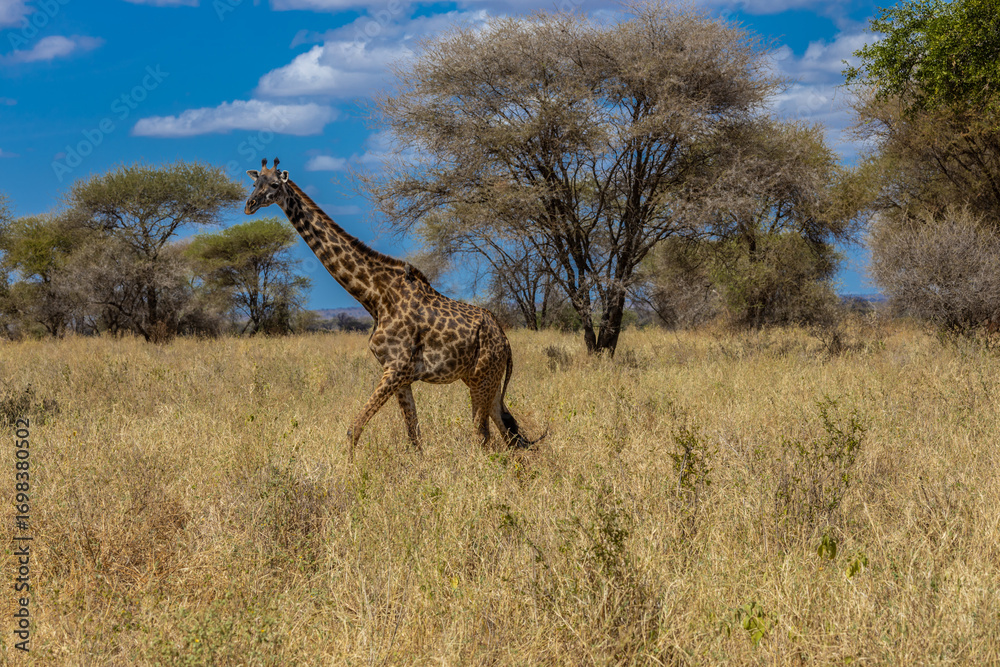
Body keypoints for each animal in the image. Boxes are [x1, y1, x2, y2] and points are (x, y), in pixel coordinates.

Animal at [244, 158, 534, 461]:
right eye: (254, 183)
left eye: (273, 185)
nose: (249, 205)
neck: (375, 297)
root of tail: (505, 340)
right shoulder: (400, 375)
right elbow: (414, 435)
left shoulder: (396, 368)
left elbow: (354, 428)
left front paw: (348, 468)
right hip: (483, 379)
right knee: (507, 429)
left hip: (482, 378)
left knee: (483, 435)